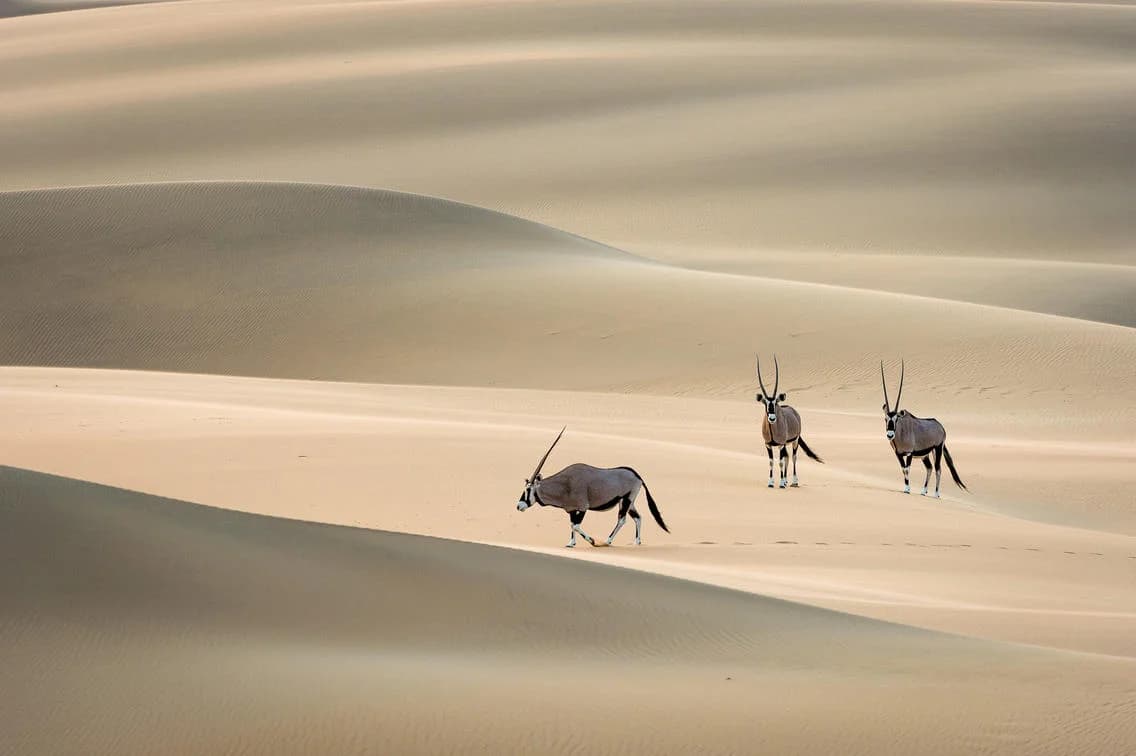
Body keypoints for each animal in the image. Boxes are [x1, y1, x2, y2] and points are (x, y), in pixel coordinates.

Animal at [515, 428, 669, 548]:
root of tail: (637, 475)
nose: (519, 506)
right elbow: (572, 524)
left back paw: (607, 541)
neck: (565, 484)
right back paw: (637, 542)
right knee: (637, 517)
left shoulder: (583, 507)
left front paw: (593, 541)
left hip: (626, 499)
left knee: (622, 519)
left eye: (528, 489)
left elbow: (576, 525)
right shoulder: (571, 510)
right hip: (628, 502)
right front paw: (571, 543)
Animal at [755, 355, 824, 488]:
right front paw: (771, 482)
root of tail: (794, 411)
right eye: (765, 403)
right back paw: (786, 480)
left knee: (793, 457)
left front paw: (781, 483)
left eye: (776, 403)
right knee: (787, 457)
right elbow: (771, 462)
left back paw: (793, 481)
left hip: (794, 441)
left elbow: (781, 462)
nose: (772, 418)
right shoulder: (768, 444)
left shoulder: (781, 444)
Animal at [880, 360, 966, 497]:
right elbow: (903, 469)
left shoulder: (909, 453)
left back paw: (936, 494)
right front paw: (906, 488)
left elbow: (907, 469)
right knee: (929, 468)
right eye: (885, 419)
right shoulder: (898, 454)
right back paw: (923, 491)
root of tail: (940, 426)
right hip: (925, 455)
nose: (890, 435)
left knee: (938, 469)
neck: (901, 432)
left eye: (896, 419)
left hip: (937, 449)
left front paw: (907, 489)